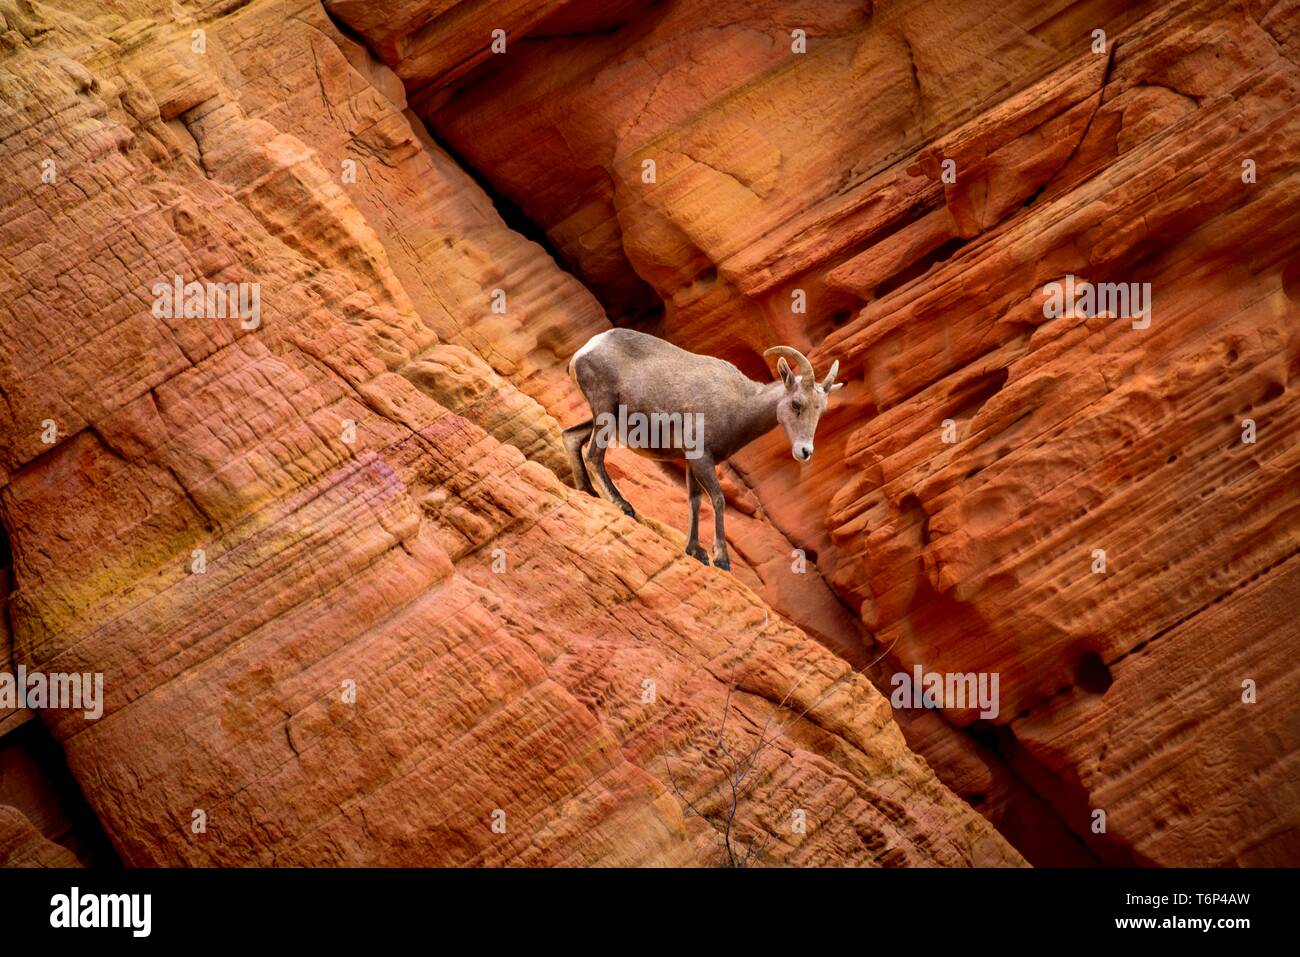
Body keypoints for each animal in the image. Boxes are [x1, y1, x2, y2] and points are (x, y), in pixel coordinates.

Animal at [564, 328, 843, 570]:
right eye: (797, 403)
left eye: (822, 410)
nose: (805, 451)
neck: (739, 406)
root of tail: (587, 348)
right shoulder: (702, 458)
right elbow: (718, 499)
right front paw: (721, 559)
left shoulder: (692, 462)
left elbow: (695, 501)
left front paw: (695, 551)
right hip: (605, 413)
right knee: (594, 455)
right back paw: (623, 505)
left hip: (603, 420)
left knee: (571, 437)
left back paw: (588, 491)